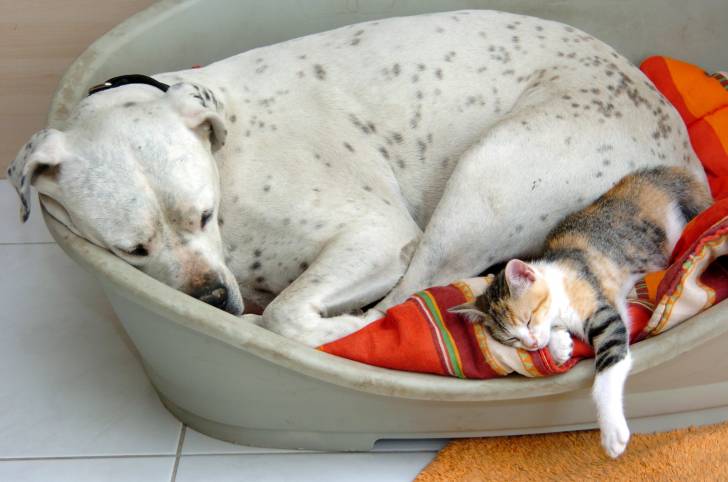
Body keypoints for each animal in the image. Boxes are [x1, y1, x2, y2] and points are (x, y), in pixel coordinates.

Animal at [9, 10, 705, 353]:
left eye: (202, 215)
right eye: (132, 250)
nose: (209, 299)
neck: (223, 153)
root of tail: (684, 154)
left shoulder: (375, 235)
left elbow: (288, 314)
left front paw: (329, 329)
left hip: (484, 174)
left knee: (409, 296)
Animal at [449, 166, 711, 458]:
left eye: (528, 320)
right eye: (511, 339)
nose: (531, 344)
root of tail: (659, 172)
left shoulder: (600, 308)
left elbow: (609, 362)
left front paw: (611, 433)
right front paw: (559, 346)